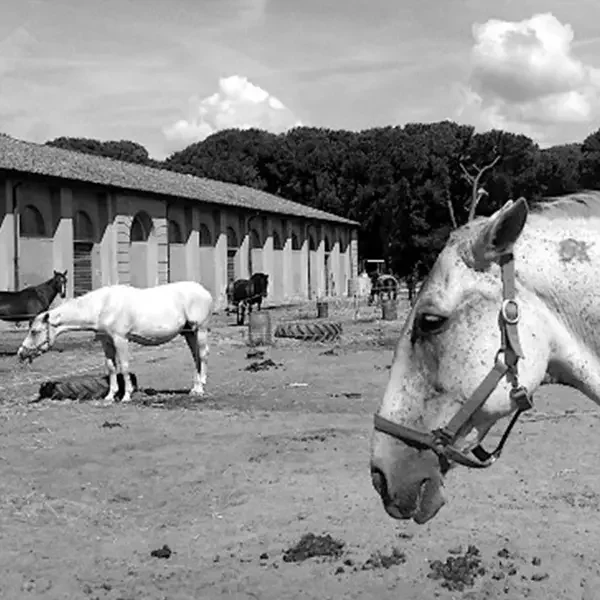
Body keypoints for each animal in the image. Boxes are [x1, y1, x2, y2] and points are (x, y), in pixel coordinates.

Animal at [17, 282, 213, 404]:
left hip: (200, 330)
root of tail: (205, 292)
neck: (102, 306)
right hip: (189, 333)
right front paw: (110, 396)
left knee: (202, 356)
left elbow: (124, 367)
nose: (21, 353)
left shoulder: (120, 339)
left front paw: (126, 396)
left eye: (34, 331)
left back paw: (201, 388)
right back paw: (195, 389)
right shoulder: (107, 342)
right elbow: (111, 367)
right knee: (196, 357)